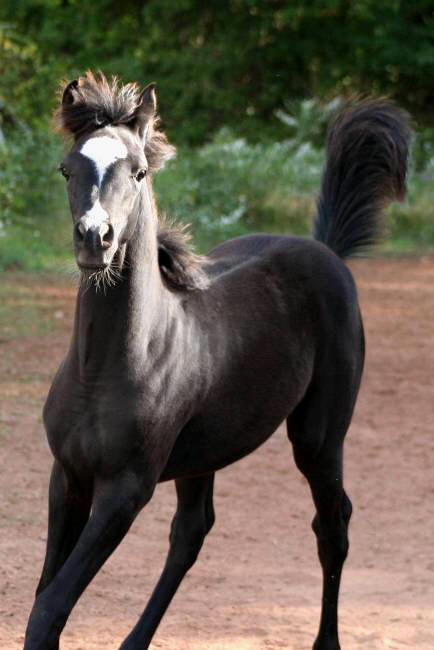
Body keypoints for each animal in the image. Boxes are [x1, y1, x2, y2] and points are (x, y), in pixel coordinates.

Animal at [22, 72, 410, 648]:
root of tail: (326, 251)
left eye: (138, 171)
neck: (107, 368)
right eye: (68, 168)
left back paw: (327, 641)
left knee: (331, 525)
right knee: (191, 532)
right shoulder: (67, 477)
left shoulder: (125, 491)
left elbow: (49, 607)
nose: (96, 239)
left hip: (318, 437)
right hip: (205, 452)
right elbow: (45, 594)